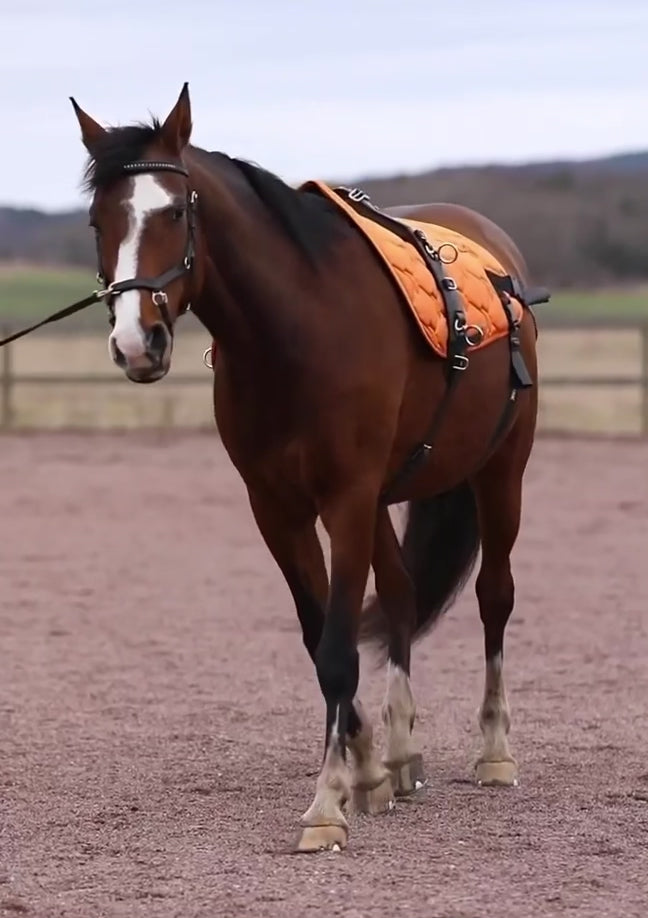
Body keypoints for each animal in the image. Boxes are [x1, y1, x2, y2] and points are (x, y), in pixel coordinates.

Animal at [68, 83, 548, 853]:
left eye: (174, 212)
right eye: (97, 220)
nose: (137, 343)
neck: (297, 331)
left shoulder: (344, 499)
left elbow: (337, 649)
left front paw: (326, 804)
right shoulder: (277, 507)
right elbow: (317, 629)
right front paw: (365, 768)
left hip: (502, 472)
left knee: (494, 597)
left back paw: (495, 751)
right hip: (389, 495)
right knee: (405, 596)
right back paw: (403, 754)